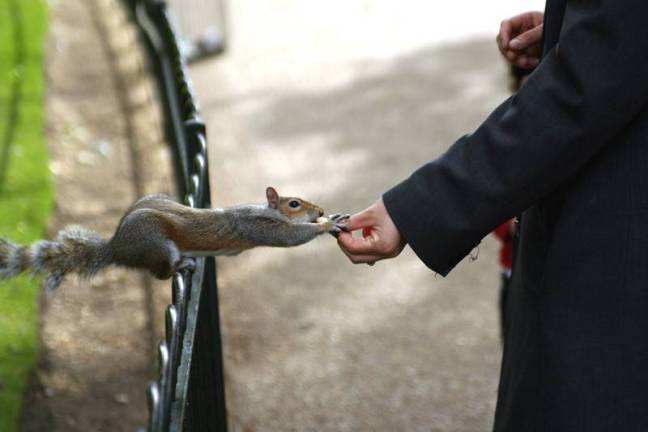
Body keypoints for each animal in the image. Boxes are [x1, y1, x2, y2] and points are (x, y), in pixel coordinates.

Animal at [0, 187, 350, 296]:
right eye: (294, 203)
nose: (320, 211)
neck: (266, 211)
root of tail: (117, 247)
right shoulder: (258, 228)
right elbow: (289, 237)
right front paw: (326, 225)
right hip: (158, 246)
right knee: (159, 273)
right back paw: (182, 265)